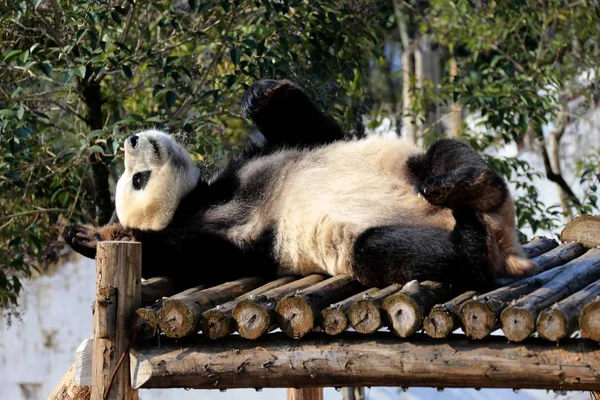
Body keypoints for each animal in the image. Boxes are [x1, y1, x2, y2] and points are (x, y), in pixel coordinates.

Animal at [64, 79, 536, 290]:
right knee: (395, 250)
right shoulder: (237, 244)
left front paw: (261, 93)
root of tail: (508, 246)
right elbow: (187, 256)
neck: (199, 200)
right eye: (138, 179)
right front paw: (90, 236)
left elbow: (315, 130)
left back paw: (464, 186)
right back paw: (470, 237)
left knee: (444, 154)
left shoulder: (259, 160)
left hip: (408, 165)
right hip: (369, 246)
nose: (130, 139)